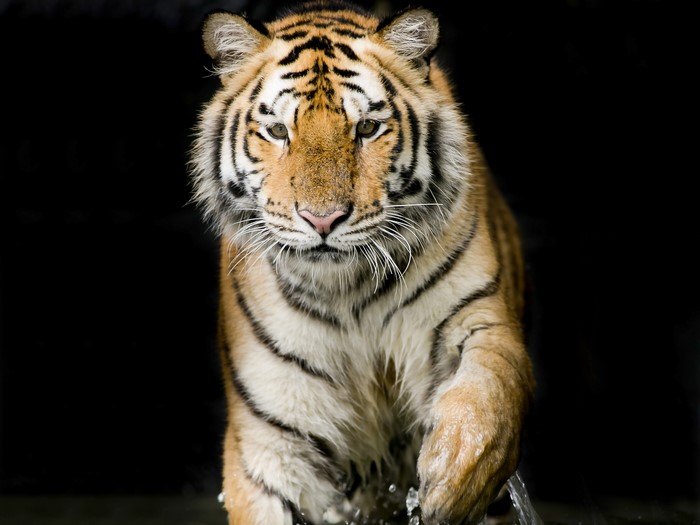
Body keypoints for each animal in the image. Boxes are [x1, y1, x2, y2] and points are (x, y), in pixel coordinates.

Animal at [188, 1, 536, 523]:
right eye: (277, 131)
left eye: (367, 128)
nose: (322, 219)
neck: (346, 292)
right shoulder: (274, 439)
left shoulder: (475, 314)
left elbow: (490, 384)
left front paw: (456, 471)